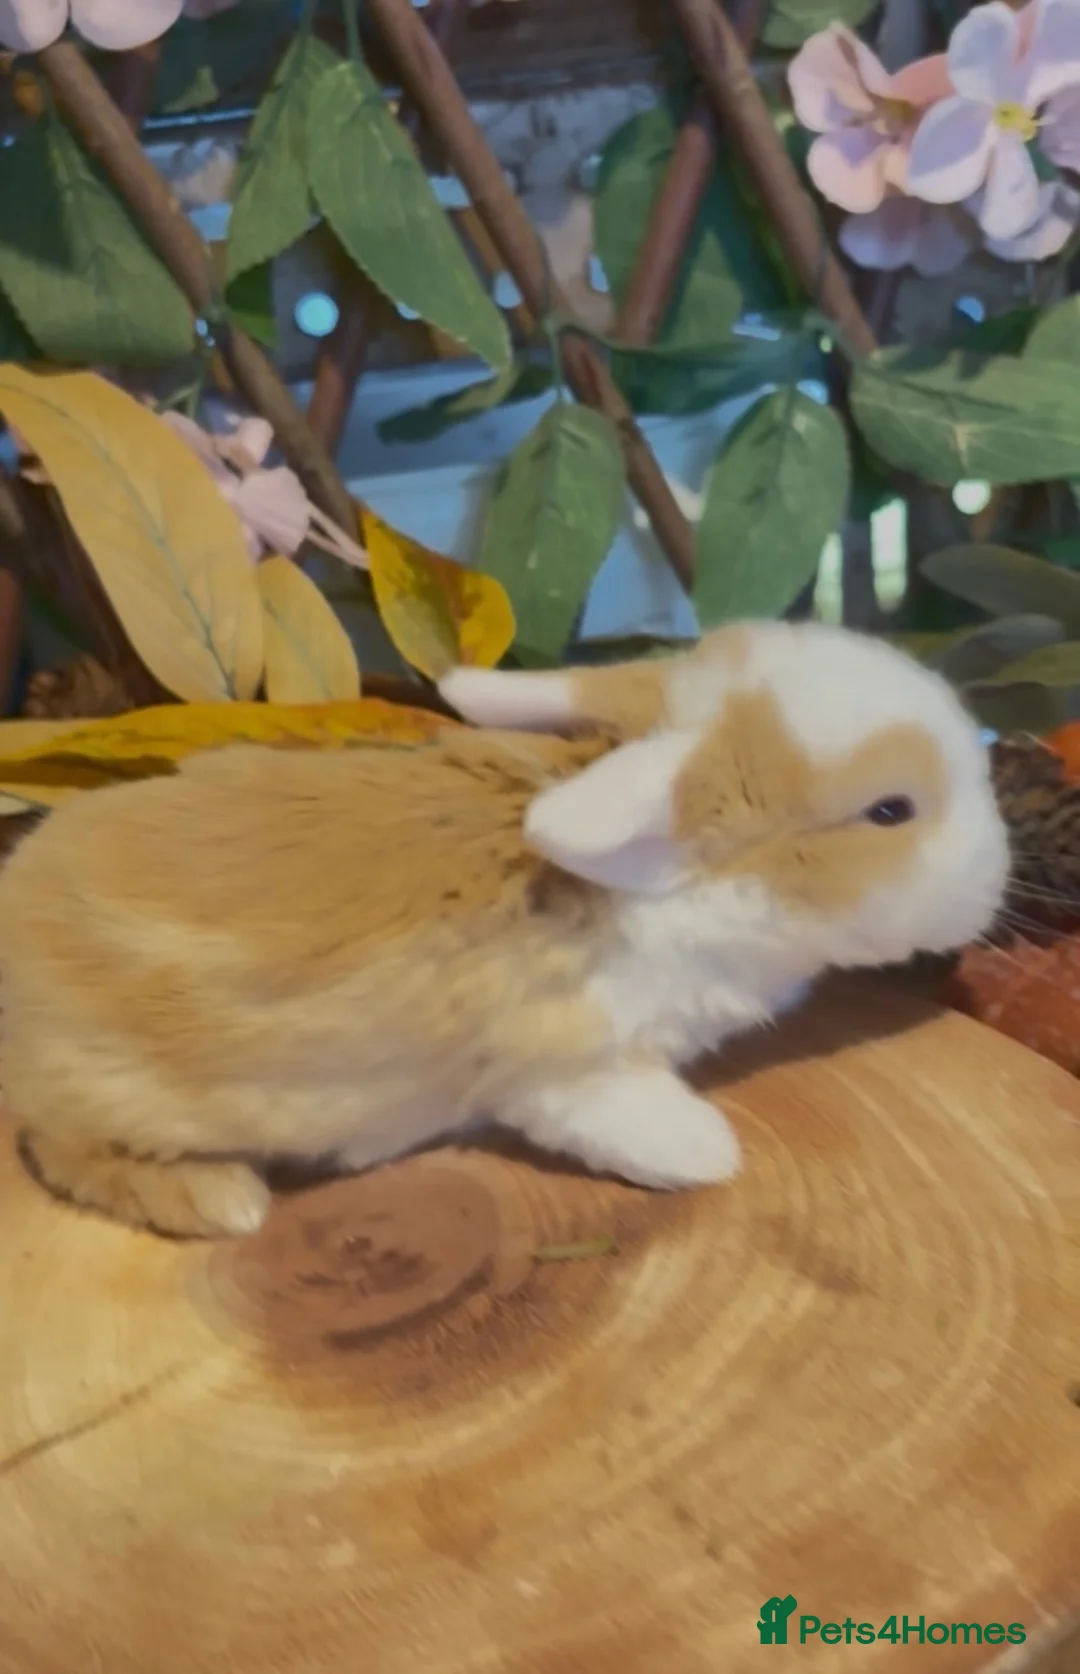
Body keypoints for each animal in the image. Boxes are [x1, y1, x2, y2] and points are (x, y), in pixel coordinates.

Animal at [0, 619, 1009, 1240]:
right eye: (890, 811)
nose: (999, 873)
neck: (680, 887)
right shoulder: (560, 1070)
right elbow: (621, 1115)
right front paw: (706, 1154)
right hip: (105, 1097)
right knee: (66, 1151)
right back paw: (224, 1202)